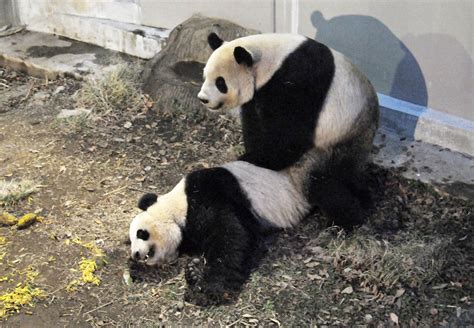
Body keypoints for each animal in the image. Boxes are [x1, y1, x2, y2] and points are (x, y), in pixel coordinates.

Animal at [129, 161, 312, 304]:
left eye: (140, 233)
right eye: (130, 241)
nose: (135, 255)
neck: (176, 207)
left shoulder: (207, 196)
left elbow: (232, 236)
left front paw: (207, 289)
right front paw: (194, 272)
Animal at [196, 34, 378, 228]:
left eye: (220, 82)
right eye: (204, 75)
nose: (203, 99)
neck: (270, 61)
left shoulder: (298, 79)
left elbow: (291, 134)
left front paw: (255, 159)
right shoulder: (259, 94)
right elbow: (254, 122)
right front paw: (254, 152)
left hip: (340, 139)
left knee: (327, 180)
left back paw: (352, 215)